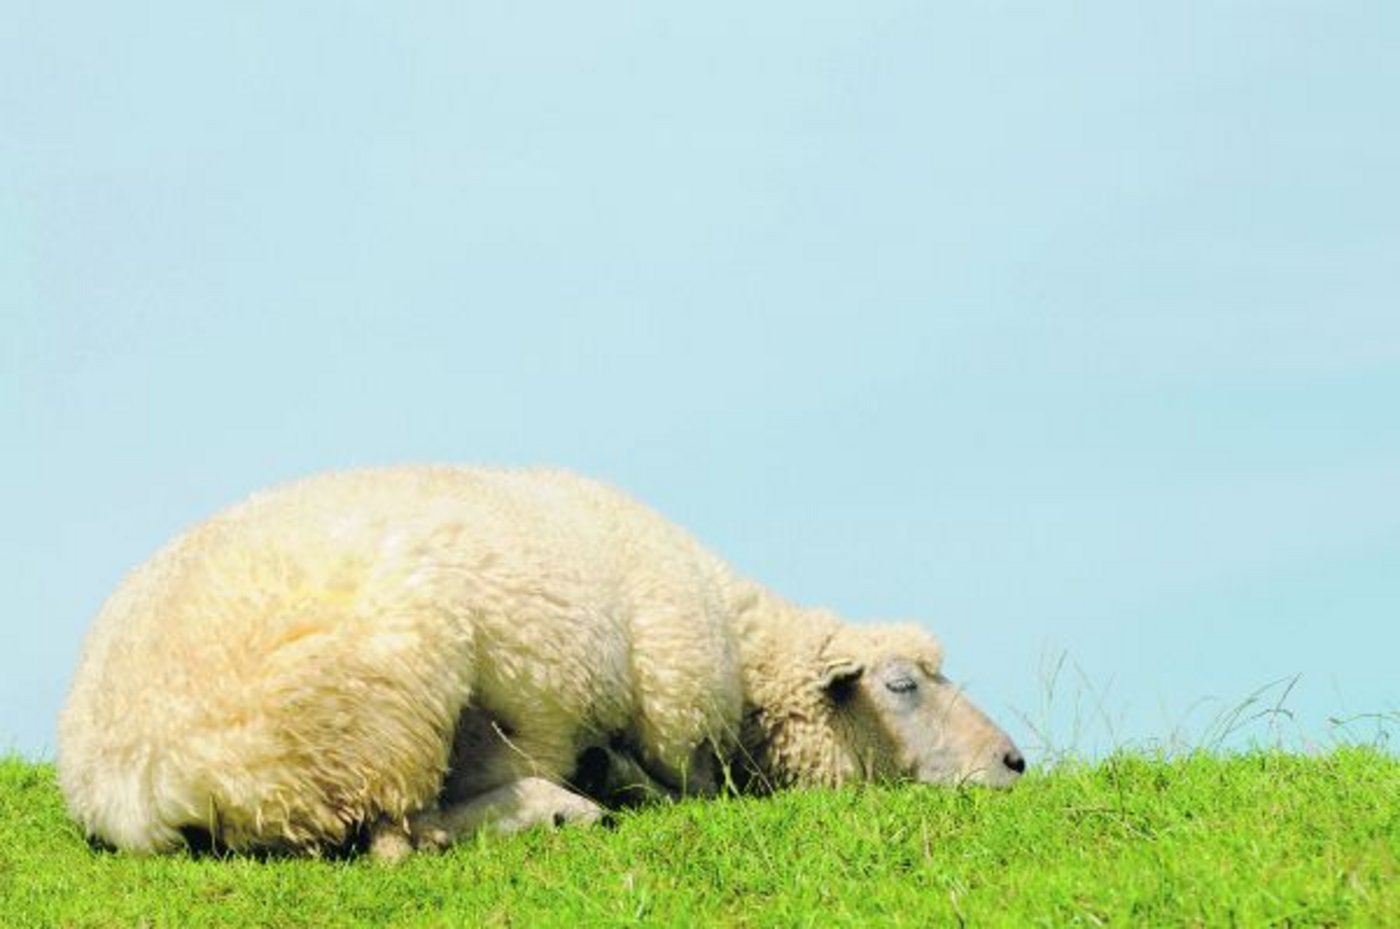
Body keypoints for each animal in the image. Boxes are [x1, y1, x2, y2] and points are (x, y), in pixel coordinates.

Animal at [56, 467, 1025, 858]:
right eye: (902, 685)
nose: (1015, 761)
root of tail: (135, 769)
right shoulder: (669, 712)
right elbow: (677, 780)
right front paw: (608, 787)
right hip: (382, 708)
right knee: (403, 836)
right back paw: (561, 809)